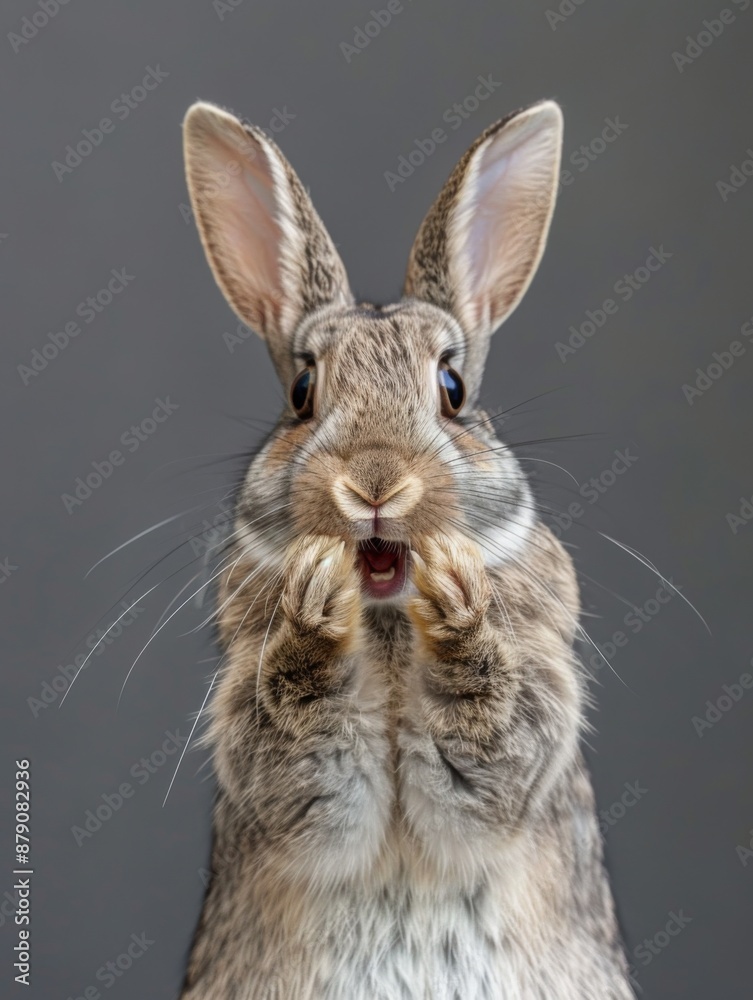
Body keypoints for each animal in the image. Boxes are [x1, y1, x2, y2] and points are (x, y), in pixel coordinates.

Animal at [178, 98, 635, 1000]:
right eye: (302, 392)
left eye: (452, 391)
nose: (375, 481)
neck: (389, 619)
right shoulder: (276, 760)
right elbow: (303, 746)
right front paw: (313, 610)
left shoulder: (525, 727)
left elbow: (485, 736)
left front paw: (457, 608)